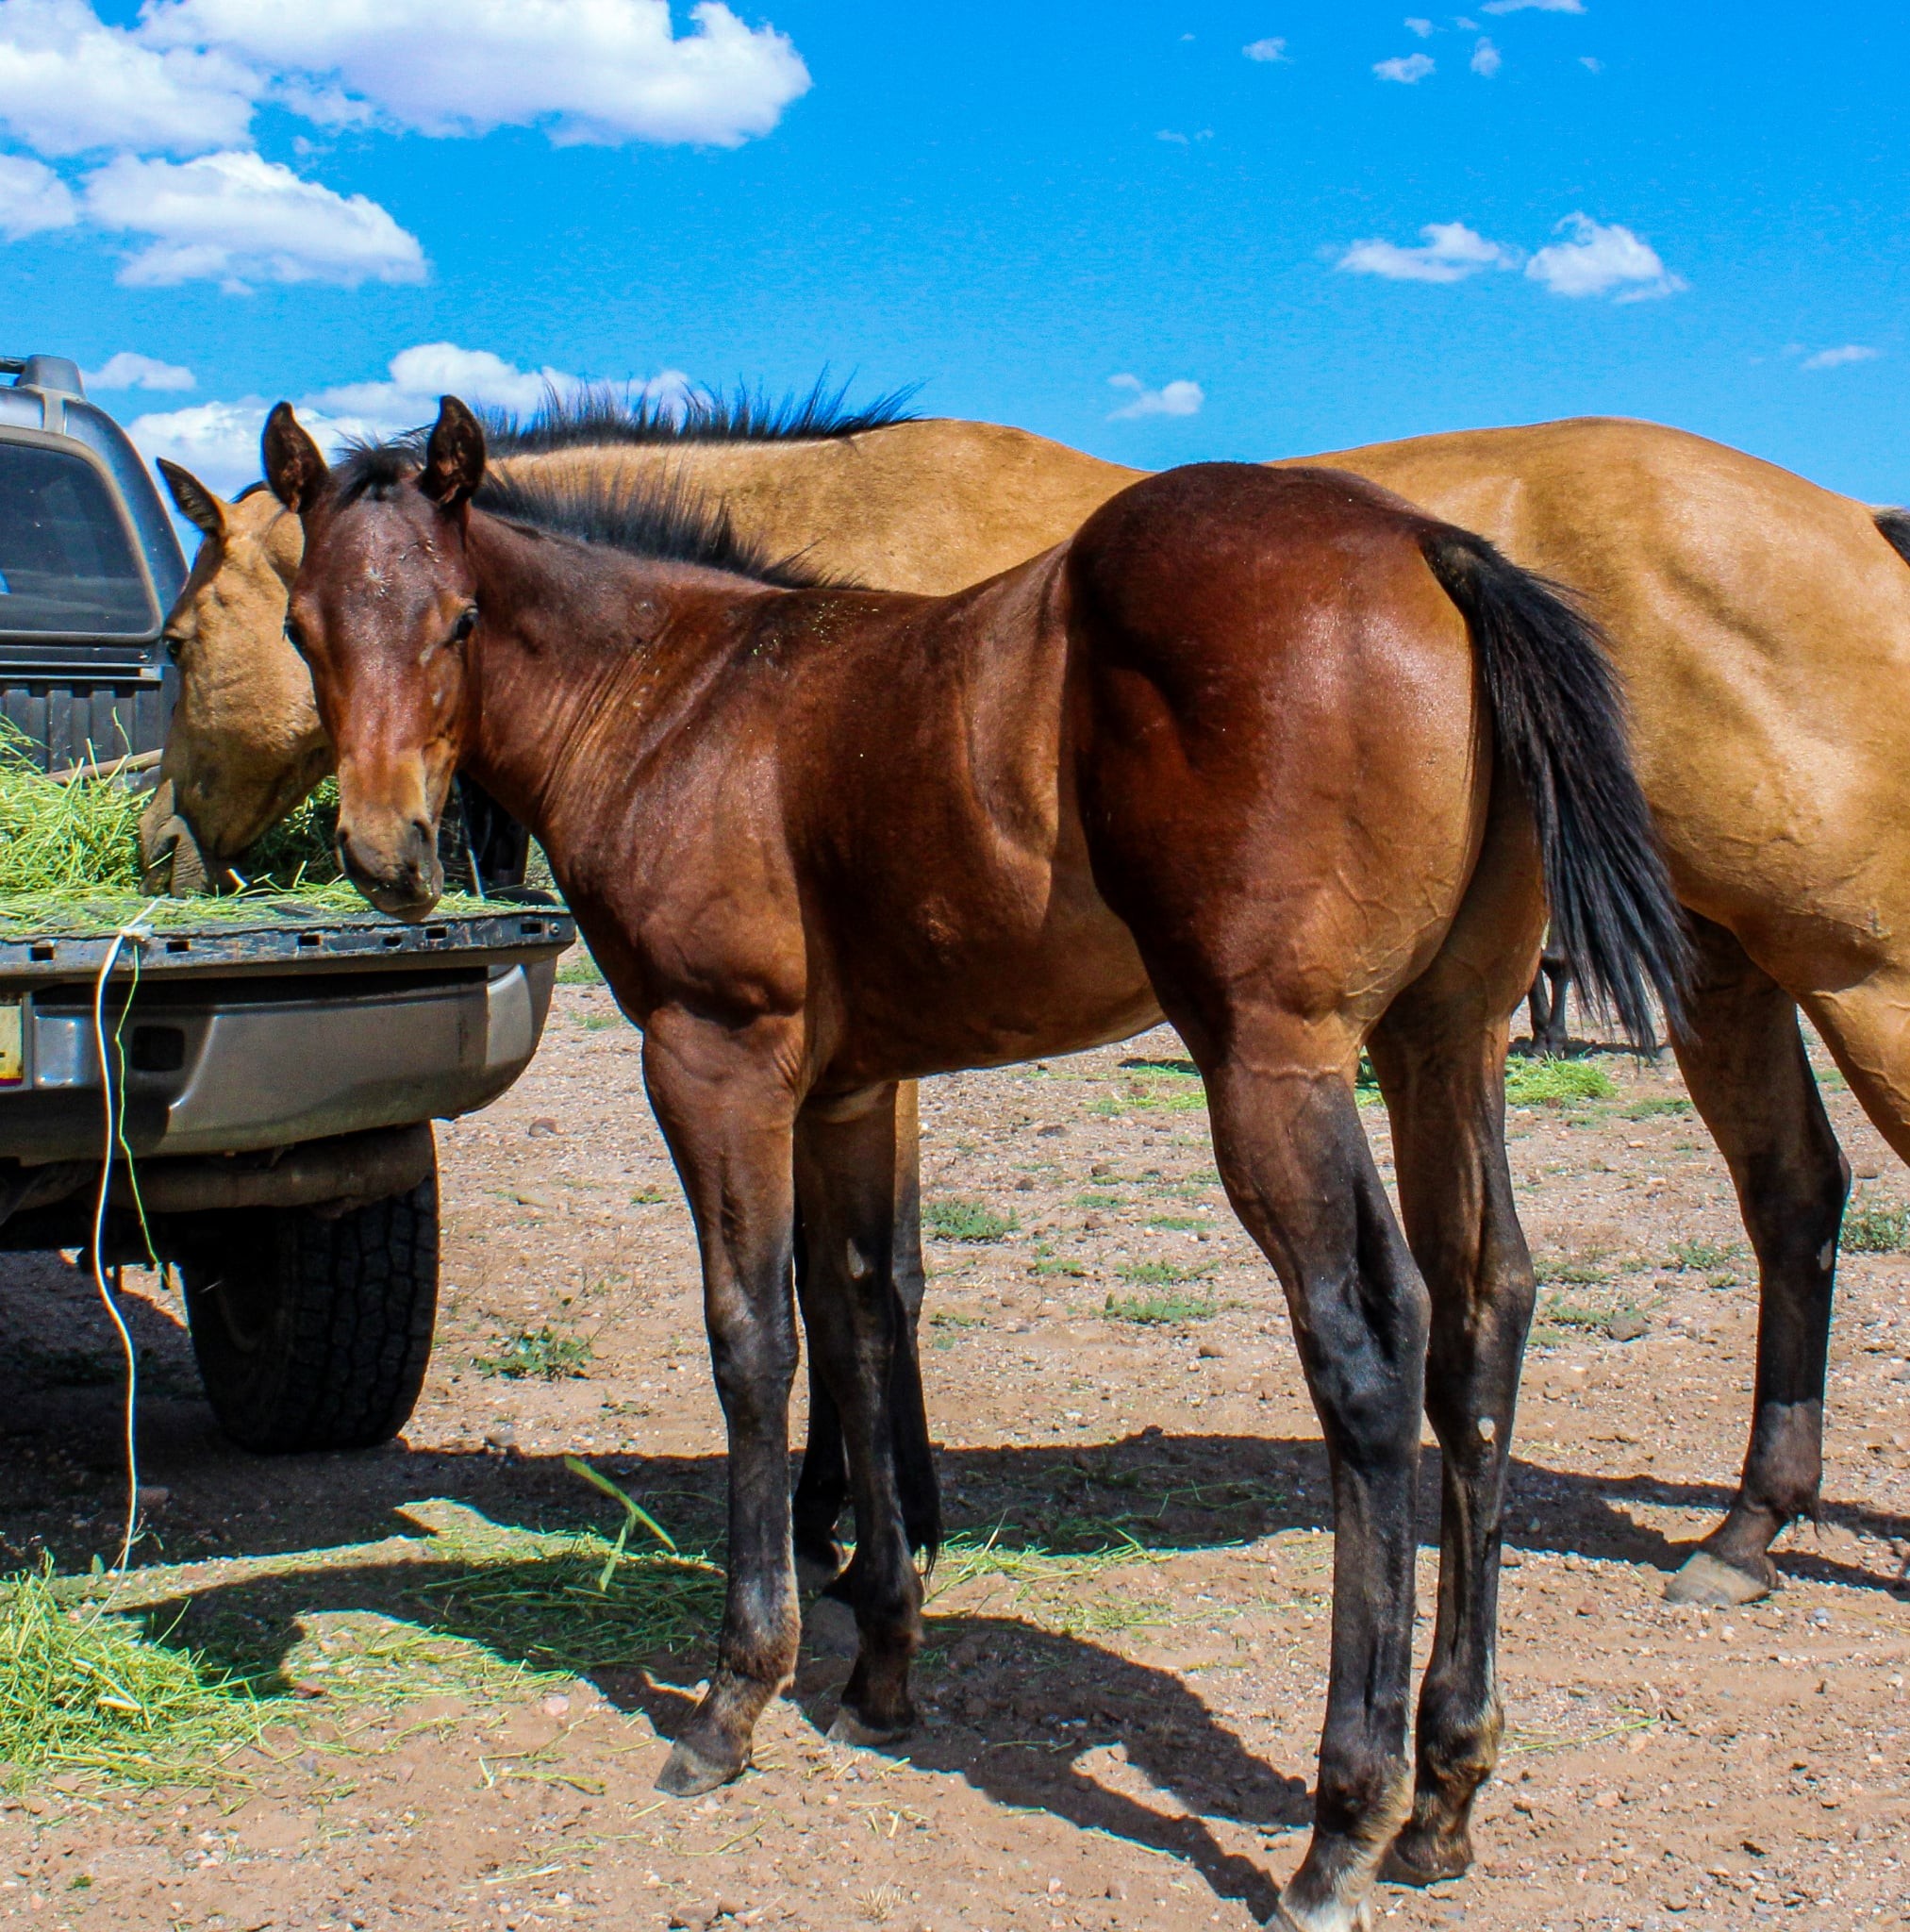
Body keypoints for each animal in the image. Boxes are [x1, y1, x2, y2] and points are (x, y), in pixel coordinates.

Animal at [148, 398, 1910, 1613]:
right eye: (295, 628)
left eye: (177, 636)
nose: (157, 840)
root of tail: (1857, 524)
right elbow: (864, 1279)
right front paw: (872, 1524)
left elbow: (852, 1283)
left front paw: (850, 1524)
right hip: (1716, 975)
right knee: (1791, 1197)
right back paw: (1749, 1527)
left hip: (1854, 974)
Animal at [265, 395, 1687, 1930]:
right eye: (301, 627)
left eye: (461, 619)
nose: (388, 852)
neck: (677, 698)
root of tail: (1428, 546)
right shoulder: (847, 1091)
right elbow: (861, 1316)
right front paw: (883, 1661)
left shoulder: (715, 1061)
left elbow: (753, 1341)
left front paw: (734, 1697)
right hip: (1447, 1037)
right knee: (1484, 1321)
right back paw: (1445, 1793)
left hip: (1275, 1061)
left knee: (1368, 1349)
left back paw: (1343, 1823)